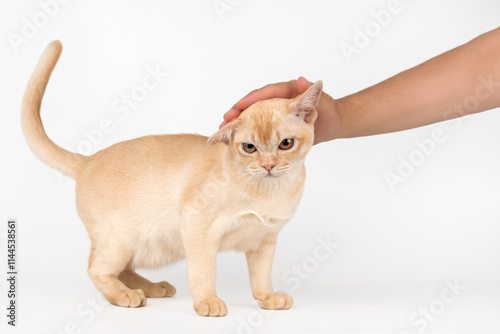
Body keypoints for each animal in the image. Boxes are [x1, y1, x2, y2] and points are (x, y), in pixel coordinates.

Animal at [21, 40, 322, 318]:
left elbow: (260, 277)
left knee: (122, 269)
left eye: (285, 144)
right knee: (97, 269)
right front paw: (207, 303)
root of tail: (88, 159)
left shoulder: (263, 240)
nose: (268, 165)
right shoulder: (198, 227)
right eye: (249, 148)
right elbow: (203, 273)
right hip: (118, 241)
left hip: (134, 245)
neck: (268, 192)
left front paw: (268, 299)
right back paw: (128, 295)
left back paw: (153, 288)